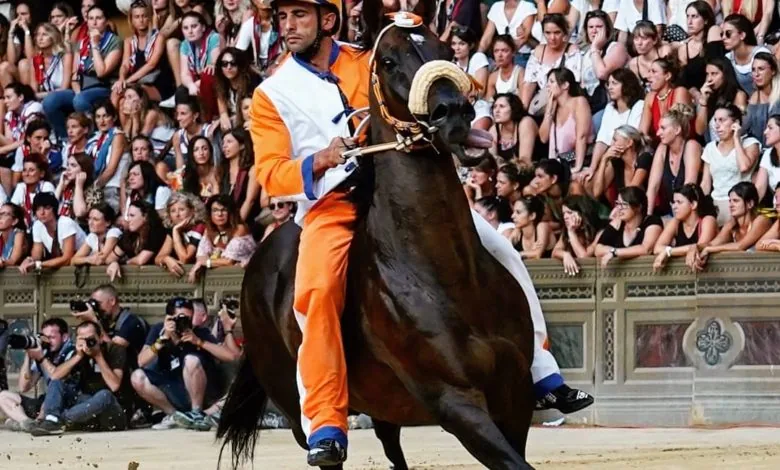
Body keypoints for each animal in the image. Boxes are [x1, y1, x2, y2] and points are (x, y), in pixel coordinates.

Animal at [218, 1, 536, 468]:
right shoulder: (454, 402)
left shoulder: (515, 393)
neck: (440, 271)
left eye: (447, 50)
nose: (455, 114)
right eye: (387, 61)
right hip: (297, 408)